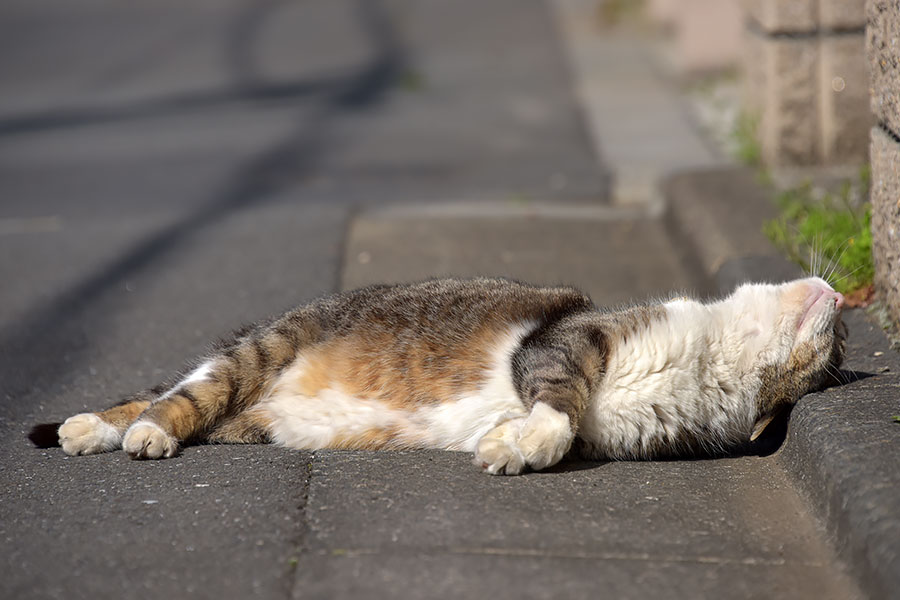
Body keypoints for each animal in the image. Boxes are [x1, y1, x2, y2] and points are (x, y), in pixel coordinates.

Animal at [54, 274, 844, 476]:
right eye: (838, 347)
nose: (842, 299)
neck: (703, 361)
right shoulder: (565, 341)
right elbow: (560, 402)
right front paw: (530, 442)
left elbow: (554, 430)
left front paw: (511, 446)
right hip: (262, 351)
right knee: (176, 396)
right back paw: (116, 430)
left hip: (246, 423)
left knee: (197, 410)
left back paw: (97, 430)